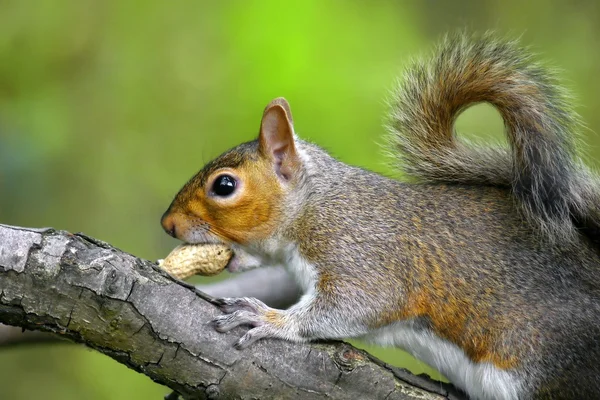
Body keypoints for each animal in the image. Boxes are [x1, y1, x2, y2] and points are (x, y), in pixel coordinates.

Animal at [162, 34, 600, 400]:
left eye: (224, 185)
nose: (168, 225)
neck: (316, 205)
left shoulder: (363, 251)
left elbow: (360, 303)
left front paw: (270, 318)